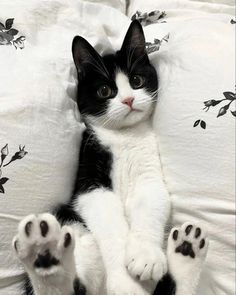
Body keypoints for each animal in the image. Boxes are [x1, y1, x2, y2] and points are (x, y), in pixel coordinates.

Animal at [12, 20, 208, 295]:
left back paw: (186, 253)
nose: (128, 99)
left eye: (136, 80)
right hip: (69, 220)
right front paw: (126, 283)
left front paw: (146, 256)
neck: (124, 136)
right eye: (105, 90)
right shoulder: (89, 179)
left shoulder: (149, 173)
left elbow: (151, 201)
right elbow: (109, 220)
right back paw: (44, 256)